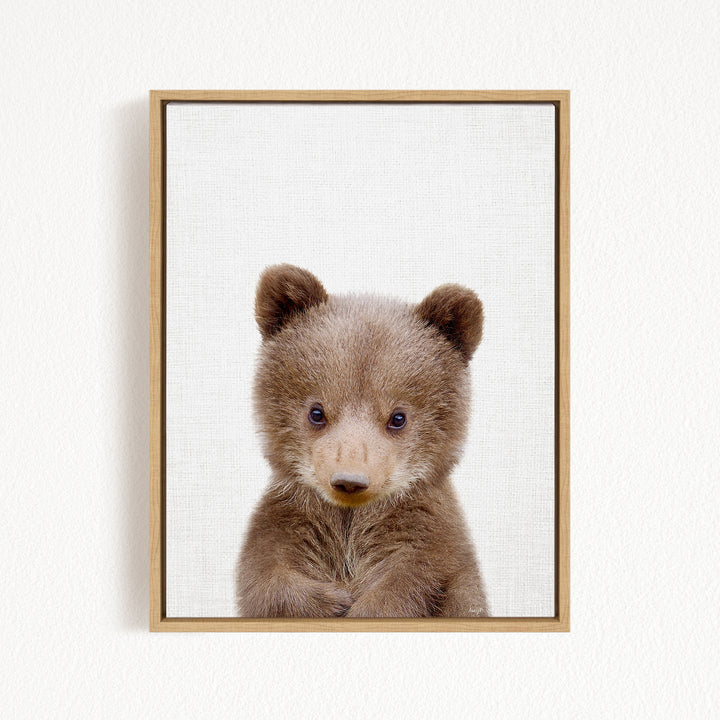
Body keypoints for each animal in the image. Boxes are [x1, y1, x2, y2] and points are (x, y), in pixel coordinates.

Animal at [236, 264, 489, 618]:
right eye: (317, 412)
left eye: (398, 417)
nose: (350, 480)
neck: (349, 521)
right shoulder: (289, 522)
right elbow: (266, 577)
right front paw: (333, 601)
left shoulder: (426, 538)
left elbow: (413, 581)